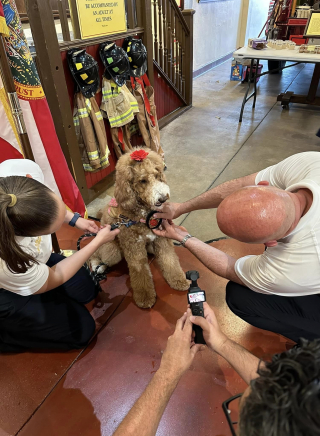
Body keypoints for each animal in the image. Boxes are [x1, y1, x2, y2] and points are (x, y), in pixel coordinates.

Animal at [90, 148, 189, 308]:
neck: (143, 214)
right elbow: (140, 272)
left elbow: (170, 260)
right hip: (112, 251)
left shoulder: (161, 239)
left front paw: (178, 280)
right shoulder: (134, 247)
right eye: (143, 180)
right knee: (95, 254)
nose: (163, 198)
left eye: (157, 175)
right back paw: (97, 266)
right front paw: (145, 297)